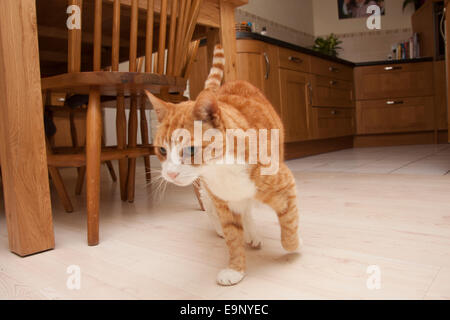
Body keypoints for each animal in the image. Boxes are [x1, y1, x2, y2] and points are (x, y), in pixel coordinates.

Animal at [144, 44, 298, 284]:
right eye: (162, 150)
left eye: (190, 150)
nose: (169, 174)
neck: (222, 169)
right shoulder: (221, 201)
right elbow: (232, 237)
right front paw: (235, 269)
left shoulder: (285, 185)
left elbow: (288, 222)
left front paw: (293, 245)